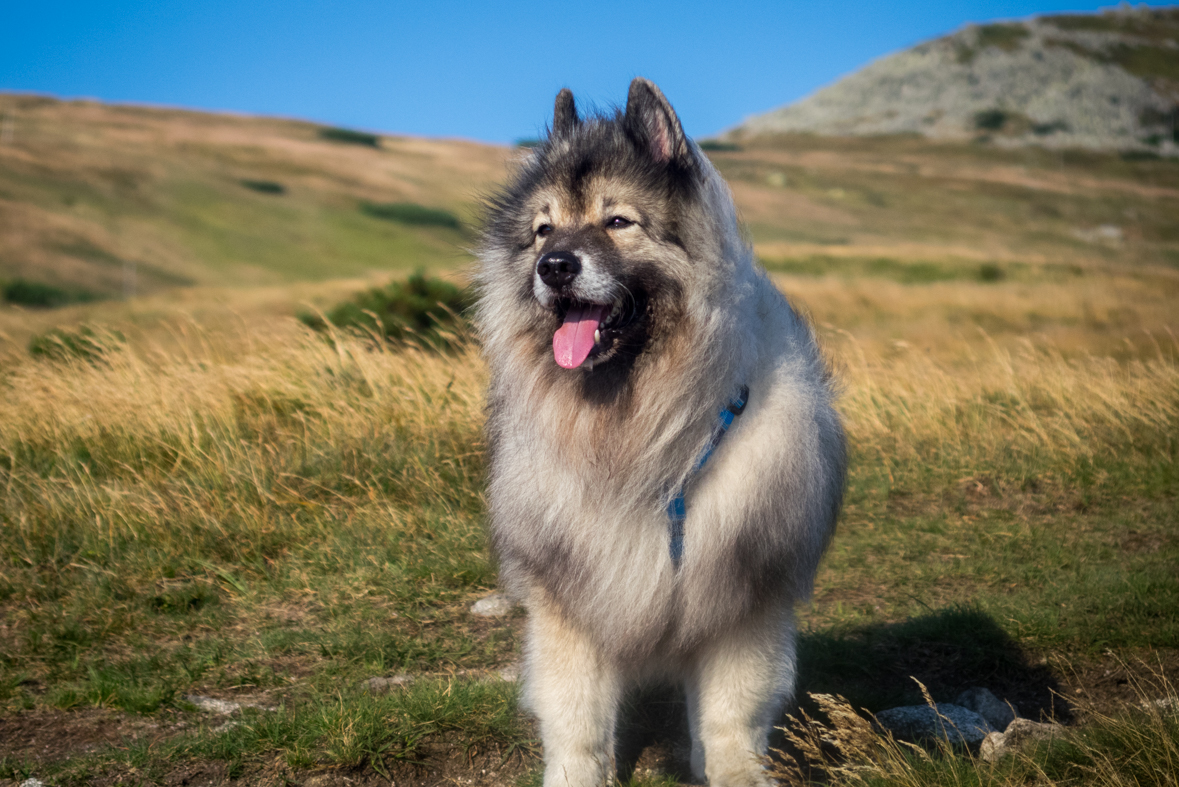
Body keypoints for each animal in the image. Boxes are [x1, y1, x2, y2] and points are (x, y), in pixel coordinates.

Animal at [473, 80, 844, 787]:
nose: (554, 267)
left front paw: (737, 773)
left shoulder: (743, 591)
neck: (641, 437)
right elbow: (577, 716)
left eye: (618, 222)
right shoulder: (573, 596)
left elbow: (731, 712)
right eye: (542, 230)